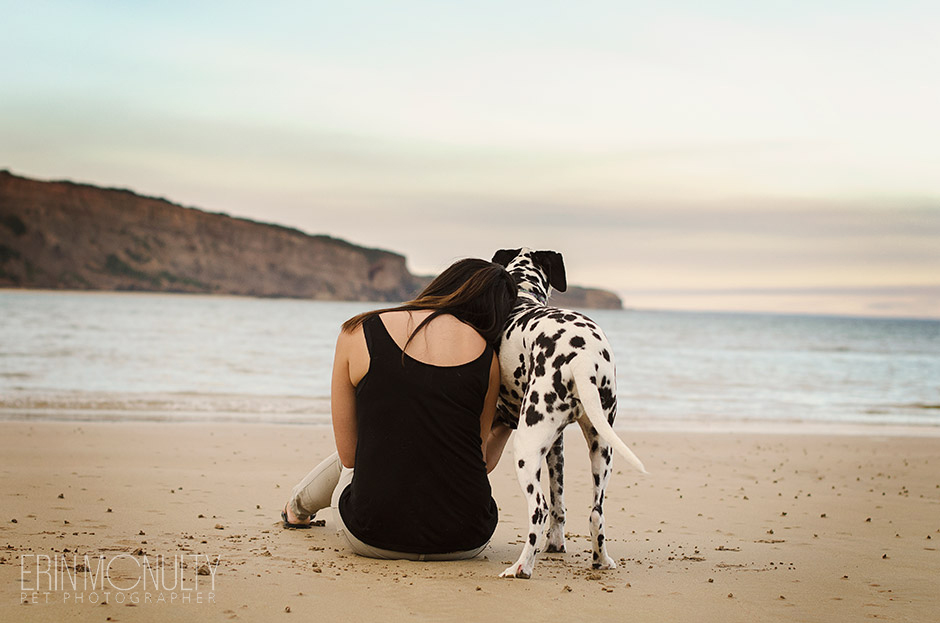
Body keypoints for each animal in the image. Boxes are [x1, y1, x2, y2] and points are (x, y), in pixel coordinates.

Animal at [492, 247, 648, 580]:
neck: (523, 296)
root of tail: (582, 357)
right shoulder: (557, 446)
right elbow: (559, 501)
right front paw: (556, 543)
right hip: (601, 448)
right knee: (595, 513)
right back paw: (601, 560)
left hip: (526, 448)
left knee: (538, 508)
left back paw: (521, 566)